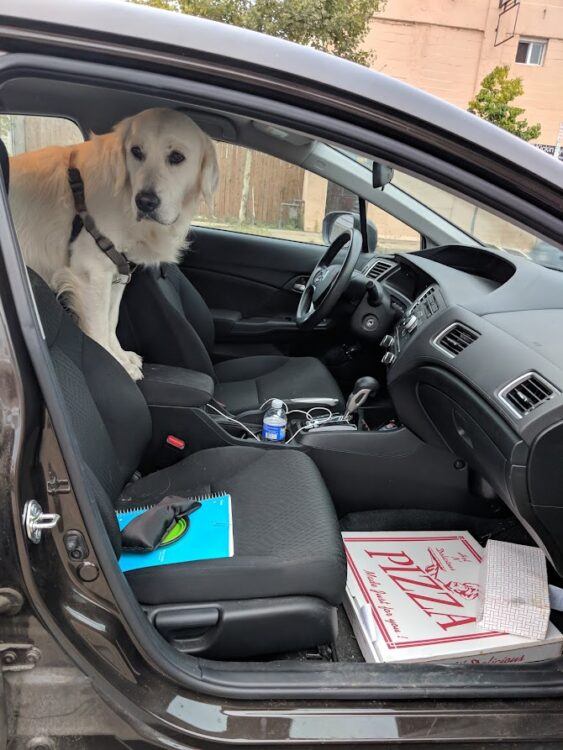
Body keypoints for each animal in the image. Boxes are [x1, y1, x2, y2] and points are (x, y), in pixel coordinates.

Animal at [10, 110, 220, 382]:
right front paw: (115, 366)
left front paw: (121, 357)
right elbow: (99, 328)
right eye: (136, 151)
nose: (145, 202)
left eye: (177, 157)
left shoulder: (118, 273)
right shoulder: (92, 274)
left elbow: (111, 320)